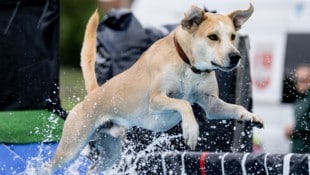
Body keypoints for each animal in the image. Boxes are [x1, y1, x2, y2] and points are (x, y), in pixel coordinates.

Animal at [47, 4, 262, 174]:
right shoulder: (156, 100)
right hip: (72, 145)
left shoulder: (211, 104)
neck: (188, 64)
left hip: (111, 152)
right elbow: (184, 104)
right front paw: (191, 130)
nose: (235, 56)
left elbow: (234, 108)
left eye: (232, 36)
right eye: (213, 37)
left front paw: (250, 116)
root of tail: (94, 93)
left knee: (94, 168)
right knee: (49, 165)